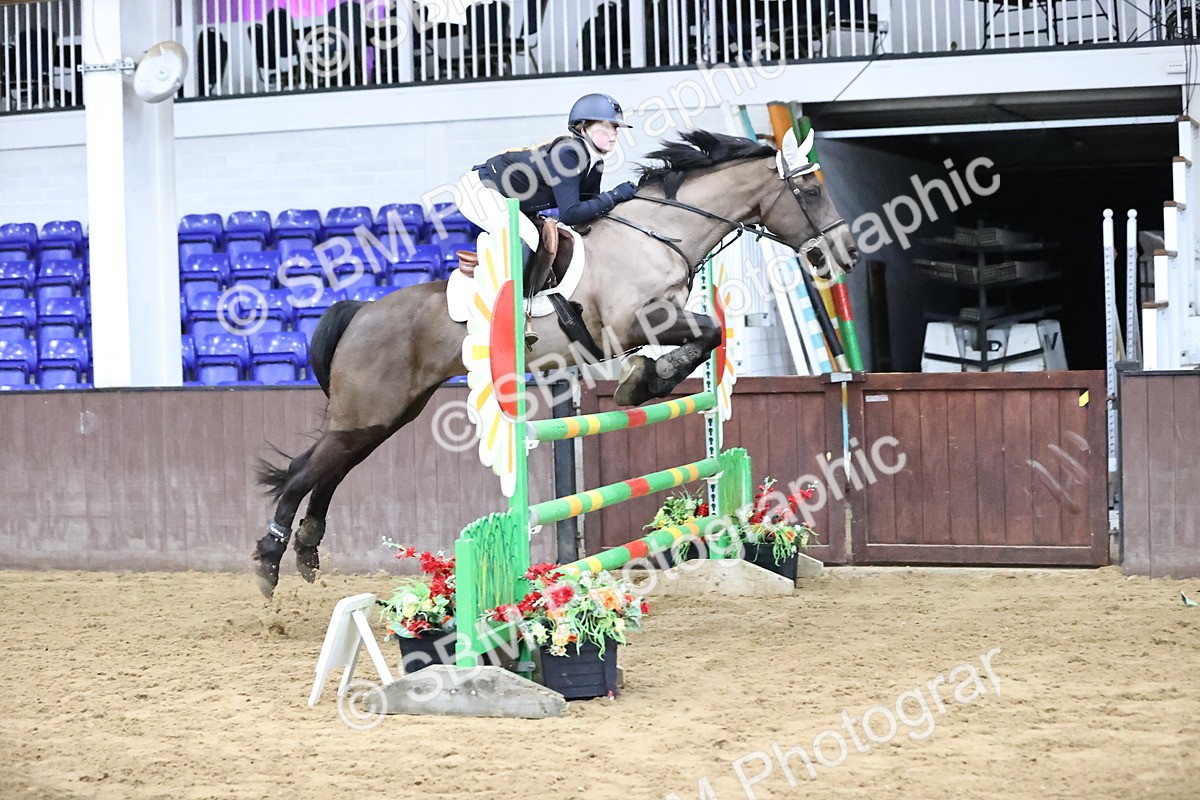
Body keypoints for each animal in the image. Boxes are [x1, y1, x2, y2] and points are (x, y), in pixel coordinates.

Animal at [251, 129, 859, 598]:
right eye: (808, 188)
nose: (846, 256)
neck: (660, 234)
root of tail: (361, 310)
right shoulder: (634, 321)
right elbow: (709, 331)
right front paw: (642, 383)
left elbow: (709, 337)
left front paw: (643, 381)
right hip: (371, 410)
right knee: (308, 471)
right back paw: (267, 561)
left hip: (385, 414)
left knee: (329, 467)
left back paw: (304, 551)